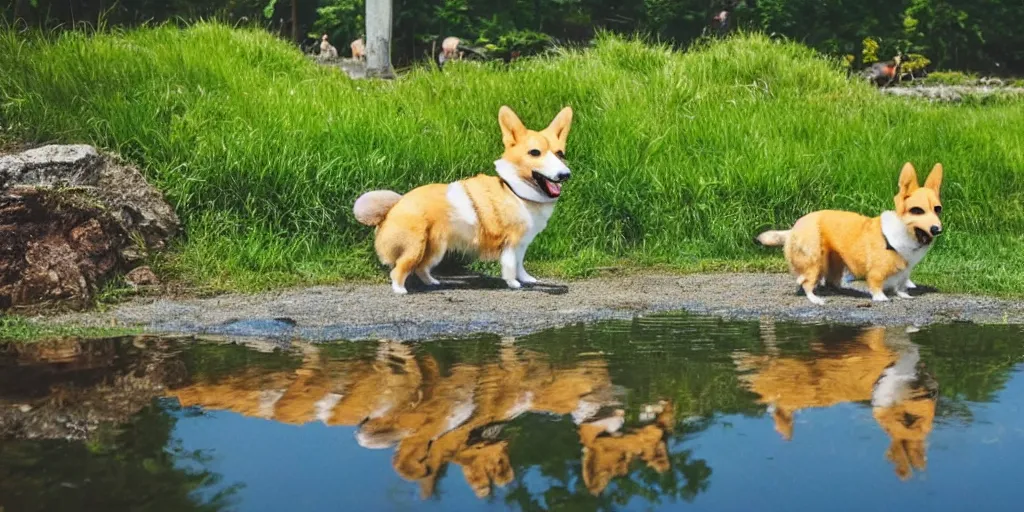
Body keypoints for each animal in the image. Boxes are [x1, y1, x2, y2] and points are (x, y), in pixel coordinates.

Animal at [356, 105, 573, 294]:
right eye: (534, 152)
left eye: (560, 154)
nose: (565, 175)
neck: (514, 190)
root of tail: (393, 207)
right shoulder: (511, 244)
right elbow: (510, 267)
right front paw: (513, 284)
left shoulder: (522, 244)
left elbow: (520, 265)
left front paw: (526, 279)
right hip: (415, 248)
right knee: (398, 270)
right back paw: (400, 290)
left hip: (435, 248)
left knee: (421, 268)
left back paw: (432, 282)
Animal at [757, 162, 937, 303]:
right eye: (917, 210)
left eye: (938, 209)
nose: (937, 229)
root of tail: (793, 228)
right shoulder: (877, 271)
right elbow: (877, 284)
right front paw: (881, 298)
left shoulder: (905, 270)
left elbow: (900, 284)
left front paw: (904, 295)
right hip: (815, 259)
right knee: (807, 281)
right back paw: (816, 299)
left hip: (834, 260)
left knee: (827, 281)